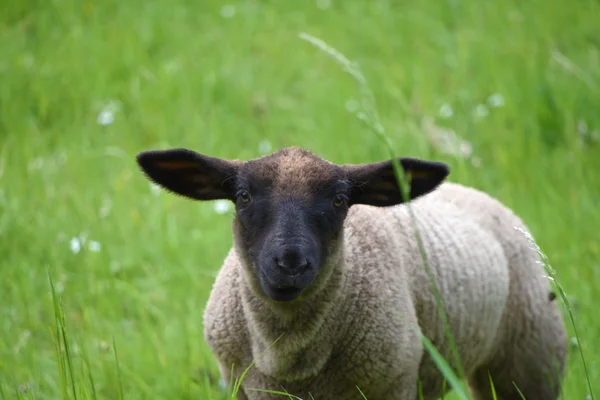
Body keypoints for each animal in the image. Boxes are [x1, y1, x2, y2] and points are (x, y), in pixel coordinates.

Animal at [135, 147, 568, 400]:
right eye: (243, 196)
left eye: (340, 200)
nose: (290, 264)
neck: (289, 357)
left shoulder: (391, 386)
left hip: (531, 361)